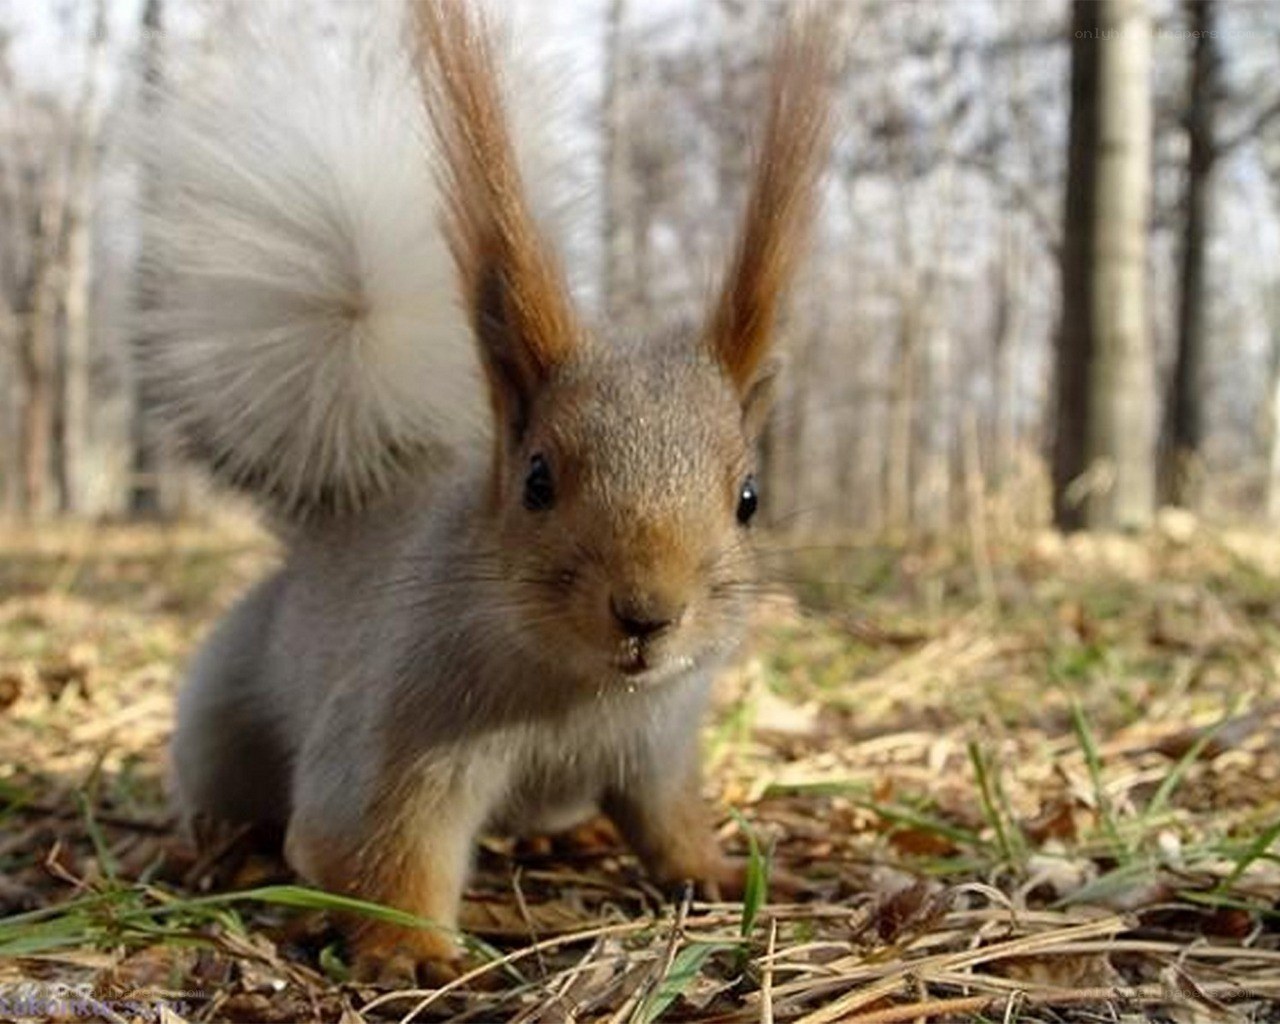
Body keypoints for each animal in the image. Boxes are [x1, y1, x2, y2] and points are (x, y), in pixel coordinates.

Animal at [152, 0, 834, 983]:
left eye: (749, 497)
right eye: (538, 479)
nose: (647, 613)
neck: (577, 693)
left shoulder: (660, 742)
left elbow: (669, 820)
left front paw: (720, 872)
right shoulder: (400, 729)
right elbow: (373, 849)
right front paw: (409, 950)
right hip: (222, 716)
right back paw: (207, 845)